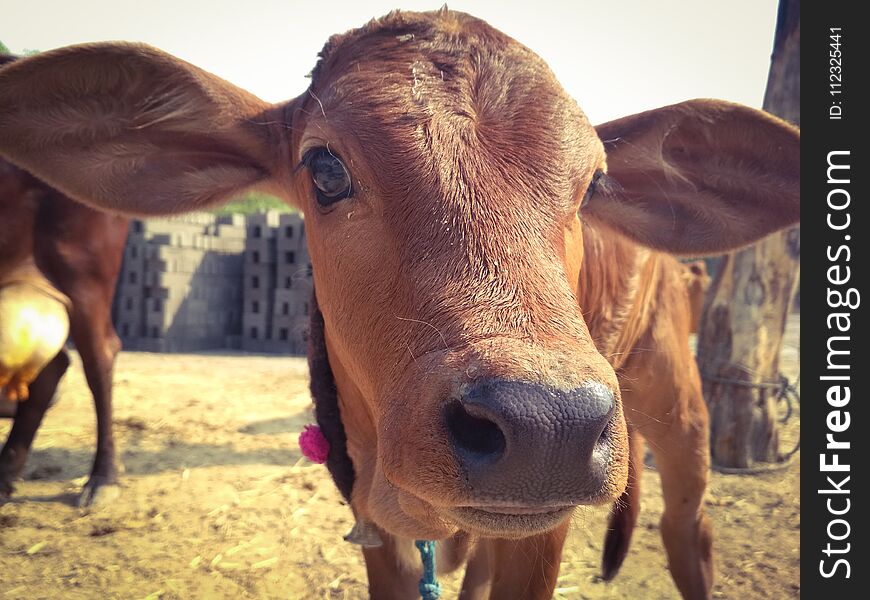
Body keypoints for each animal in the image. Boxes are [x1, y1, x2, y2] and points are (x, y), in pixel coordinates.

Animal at [0, 10, 804, 600]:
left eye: (594, 184)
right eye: (324, 168)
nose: (549, 425)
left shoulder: (541, 531)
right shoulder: (373, 522)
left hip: (677, 398)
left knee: (688, 530)